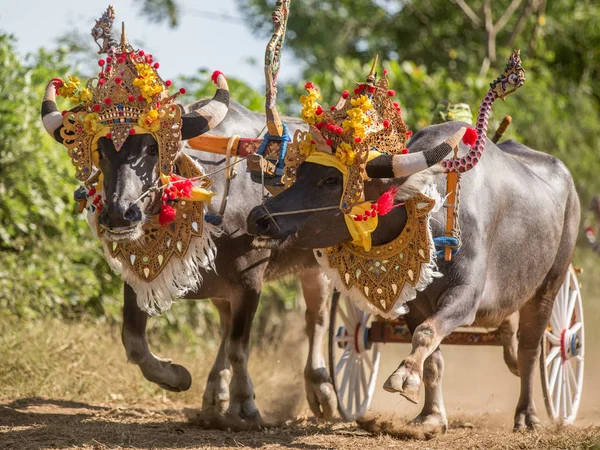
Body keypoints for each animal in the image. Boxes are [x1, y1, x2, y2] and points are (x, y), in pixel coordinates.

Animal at [246, 120, 580, 432]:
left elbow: (428, 332)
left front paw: (404, 375)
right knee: (510, 332)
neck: (434, 212)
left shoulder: (466, 296)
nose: (258, 218)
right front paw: (430, 415)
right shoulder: (416, 302)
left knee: (531, 349)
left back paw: (528, 415)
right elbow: (432, 356)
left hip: (552, 283)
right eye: (300, 172)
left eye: (330, 180)